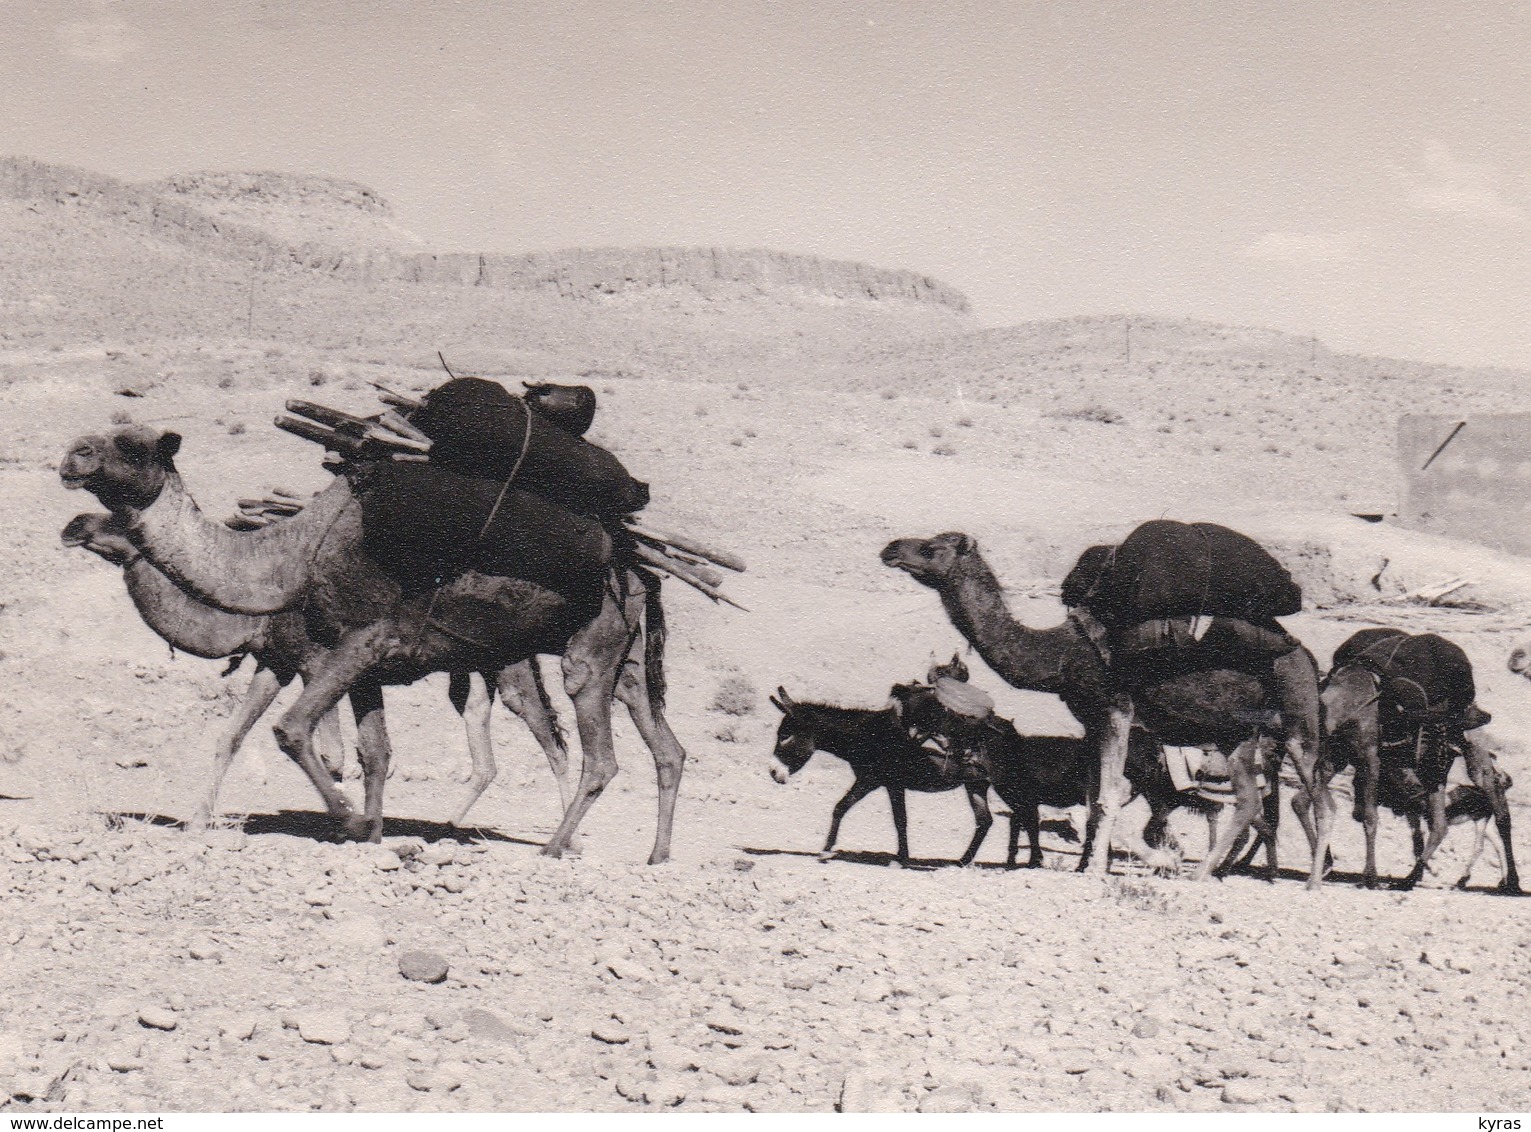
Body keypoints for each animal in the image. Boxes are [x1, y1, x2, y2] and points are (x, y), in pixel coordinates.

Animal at [61, 514, 578, 833]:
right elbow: (230, 736)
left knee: (550, 738)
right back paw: (450, 827)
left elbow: (333, 752)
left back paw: (566, 837)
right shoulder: (276, 661)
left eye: (126, 516)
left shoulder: (314, 660)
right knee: (484, 740)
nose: (73, 525)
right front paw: (197, 821)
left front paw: (345, 816)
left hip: (510, 664)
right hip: (473, 670)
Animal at [881, 530, 1335, 888]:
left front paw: (1113, 866)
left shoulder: (1116, 707)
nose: (890, 548)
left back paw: (1311, 881)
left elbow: (1109, 794)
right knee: (1248, 801)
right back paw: (1205, 872)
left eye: (931, 547)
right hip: (1236, 733)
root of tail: (1306, 656)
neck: (1060, 654)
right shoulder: (1092, 718)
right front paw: (1093, 865)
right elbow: (1092, 795)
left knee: (1318, 799)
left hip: (1297, 718)